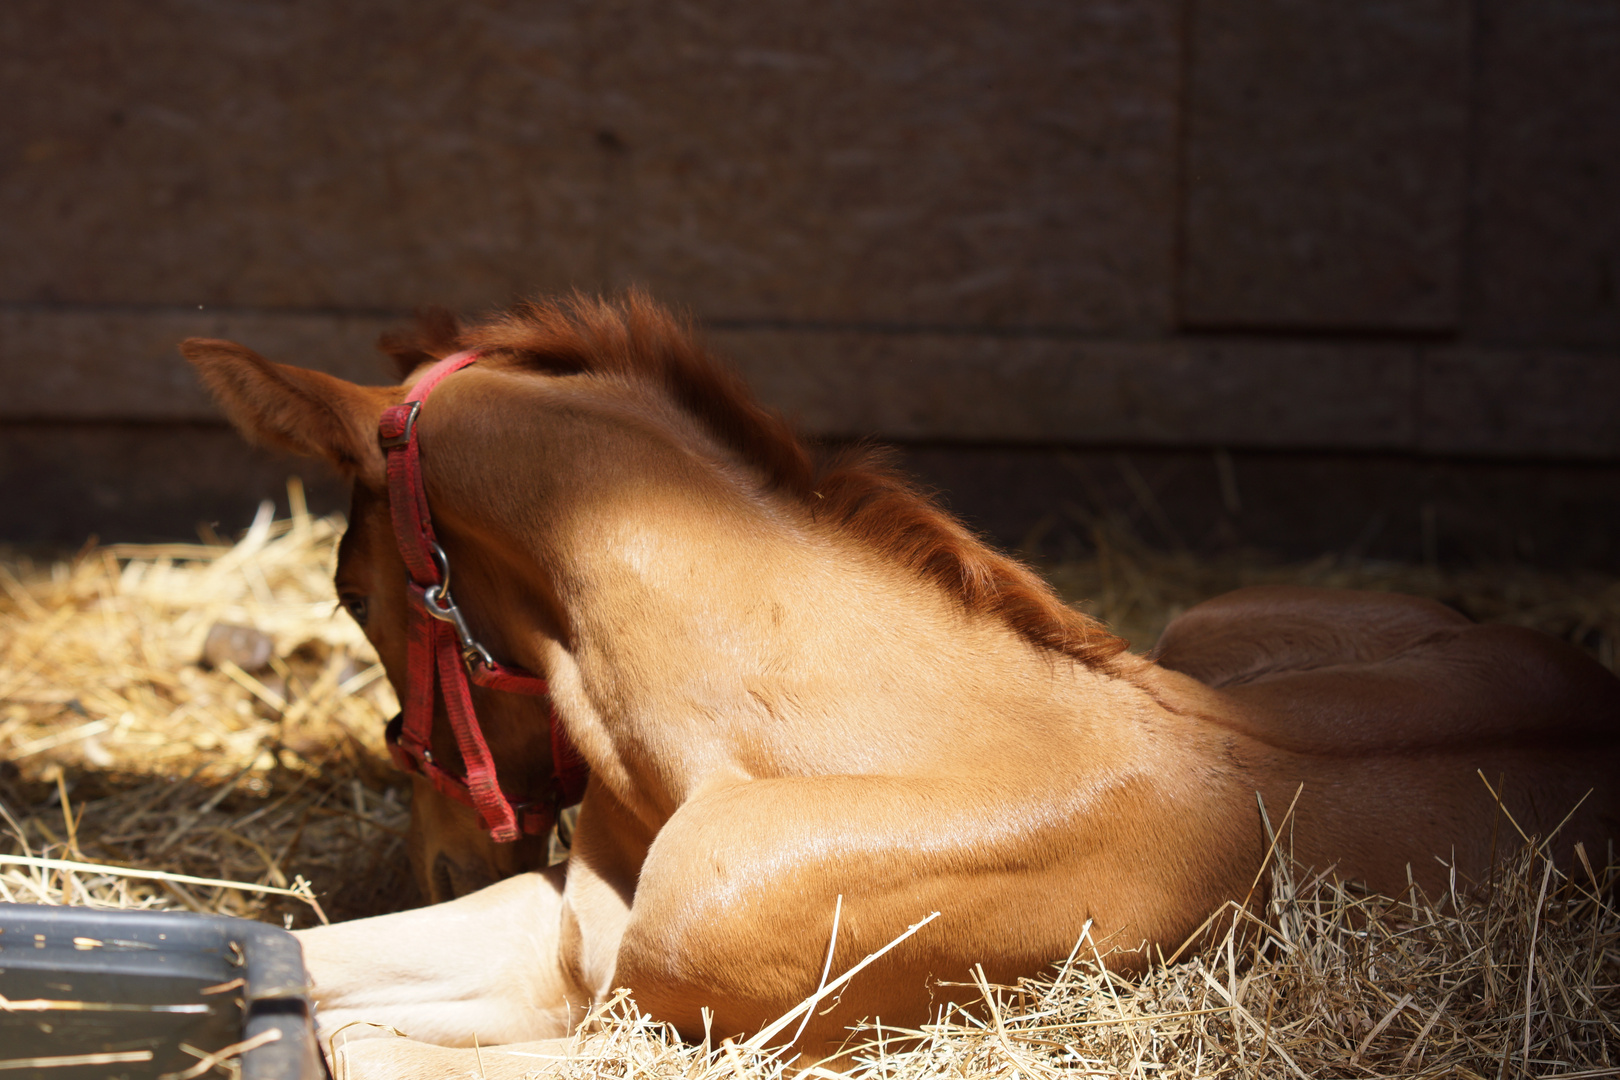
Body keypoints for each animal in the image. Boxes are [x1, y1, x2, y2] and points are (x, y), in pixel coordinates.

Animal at [177, 291, 1620, 1075]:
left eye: (351, 590)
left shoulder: (739, 1035)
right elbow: (310, 970)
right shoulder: (571, 942)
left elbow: (362, 1041)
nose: (436, 855)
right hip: (1206, 620)